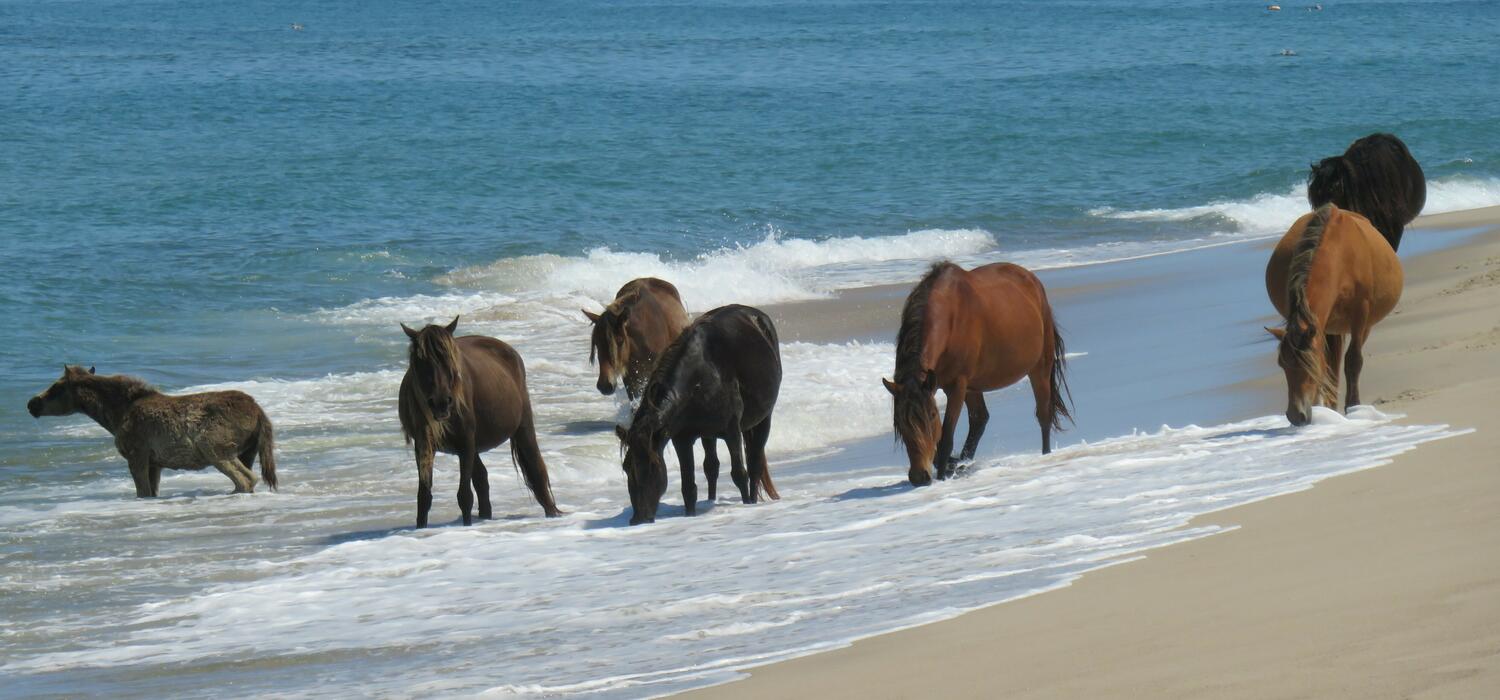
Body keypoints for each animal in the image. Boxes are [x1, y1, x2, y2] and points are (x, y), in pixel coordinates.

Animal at [25, 367, 279, 497]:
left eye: (57, 387)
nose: (31, 403)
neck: (115, 415)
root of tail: (259, 412)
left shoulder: (136, 455)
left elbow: (143, 491)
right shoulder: (155, 463)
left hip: (214, 448)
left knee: (247, 479)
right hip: (247, 452)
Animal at [399, 317, 564, 527]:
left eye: (449, 360)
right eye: (421, 361)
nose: (441, 402)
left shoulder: (466, 443)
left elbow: (464, 496)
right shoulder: (424, 445)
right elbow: (424, 497)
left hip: (522, 427)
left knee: (536, 469)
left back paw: (550, 511)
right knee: (482, 479)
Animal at [618, 305, 786, 527]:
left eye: (652, 466)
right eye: (626, 467)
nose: (638, 518)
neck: (701, 376)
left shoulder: (732, 431)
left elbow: (739, 474)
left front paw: (746, 504)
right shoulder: (682, 439)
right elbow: (688, 486)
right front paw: (690, 515)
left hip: (763, 419)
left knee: (754, 464)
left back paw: (752, 498)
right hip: (708, 434)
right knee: (711, 467)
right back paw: (711, 500)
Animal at [882, 263, 1074, 488]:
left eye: (931, 416)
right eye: (898, 422)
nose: (920, 477)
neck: (950, 318)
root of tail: (1033, 281)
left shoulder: (957, 386)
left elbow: (946, 437)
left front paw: (943, 475)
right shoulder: (953, 385)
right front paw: (951, 465)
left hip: (1039, 370)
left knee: (1043, 414)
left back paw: (1046, 454)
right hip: (974, 387)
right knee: (980, 420)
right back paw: (963, 463)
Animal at [1266, 202, 1404, 428]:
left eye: (1309, 365)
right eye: (1282, 365)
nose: (1296, 416)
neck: (1340, 254)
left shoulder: (1360, 315)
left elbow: (1353, 360)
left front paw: (1354, 407)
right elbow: (1328, 366)